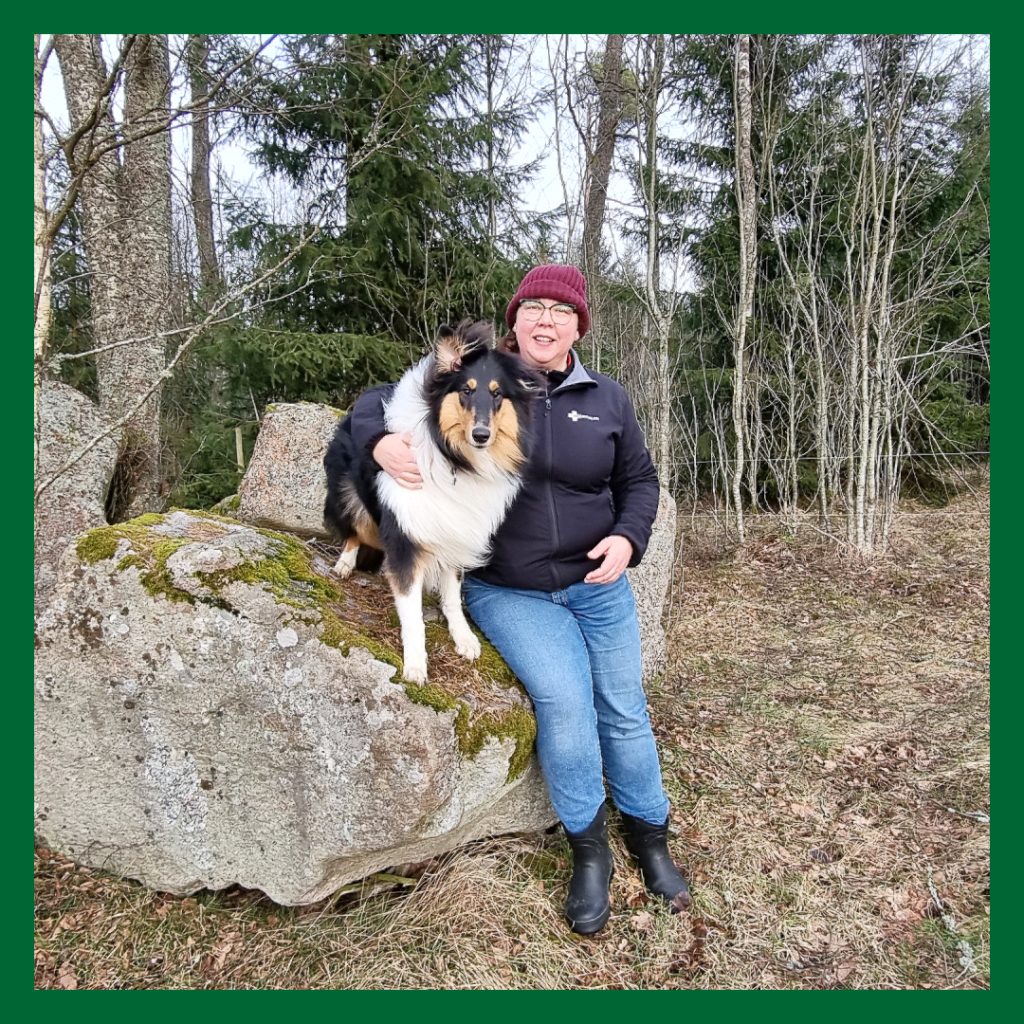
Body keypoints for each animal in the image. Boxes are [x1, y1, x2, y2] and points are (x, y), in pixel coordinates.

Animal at [325, 319, 536, 684]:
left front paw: (464, 638)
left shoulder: (456, 531)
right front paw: (415, 664)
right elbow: (411, 615)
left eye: (497, 394)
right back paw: (345, 563)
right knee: (354, 529)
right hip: (347, 493)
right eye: (466, 391)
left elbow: (452, 597)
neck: (455, 459)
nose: (481, 435)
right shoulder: (405, 535)